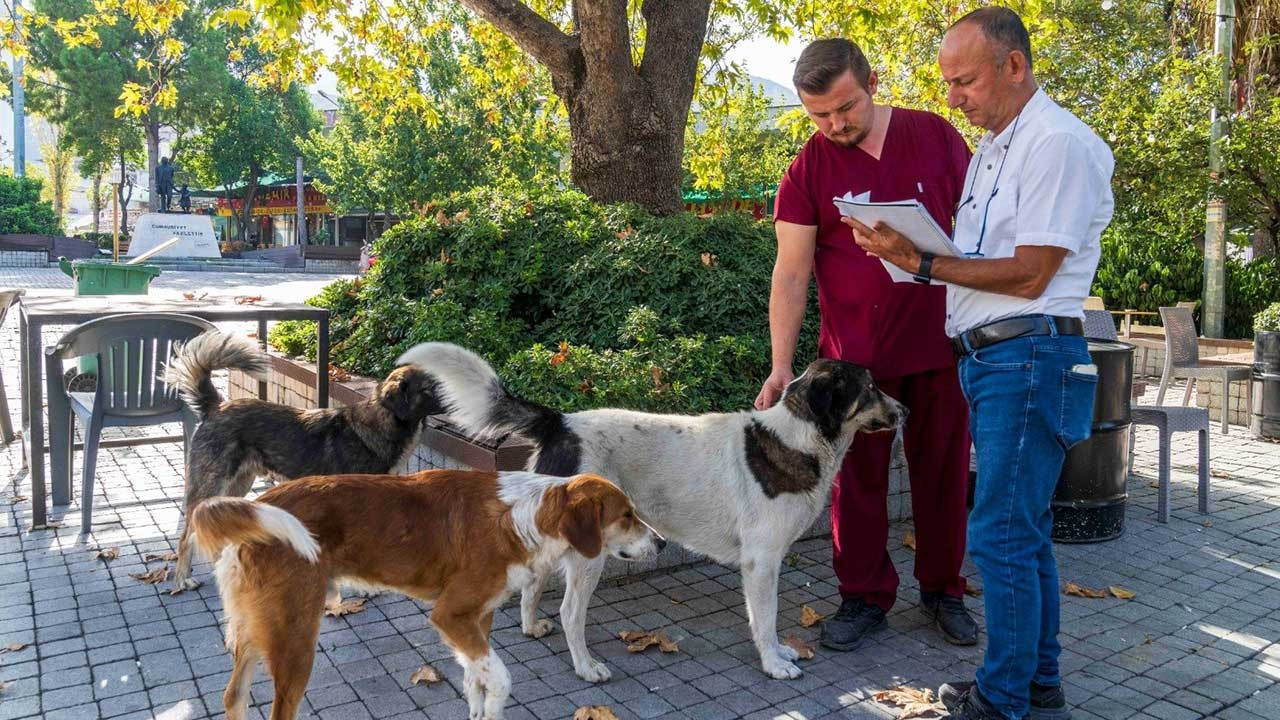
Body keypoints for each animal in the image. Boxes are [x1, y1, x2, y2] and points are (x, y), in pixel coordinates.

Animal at [162, 330, 442, 589]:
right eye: (430, 387)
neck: (379, 425)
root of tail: (216, 407)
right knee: (187, 535)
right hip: (212, 484)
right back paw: (183, 578)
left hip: (238, 483)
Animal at [188, 468, 660, 712]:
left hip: (259, 629)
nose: (661, 544)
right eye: (627, 515)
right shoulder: (449, 614)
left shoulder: (477, 618)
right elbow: (500, 681)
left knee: (233, 695)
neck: (524, 517)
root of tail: (259, 504)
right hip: (296, 637)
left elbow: (476, 681)